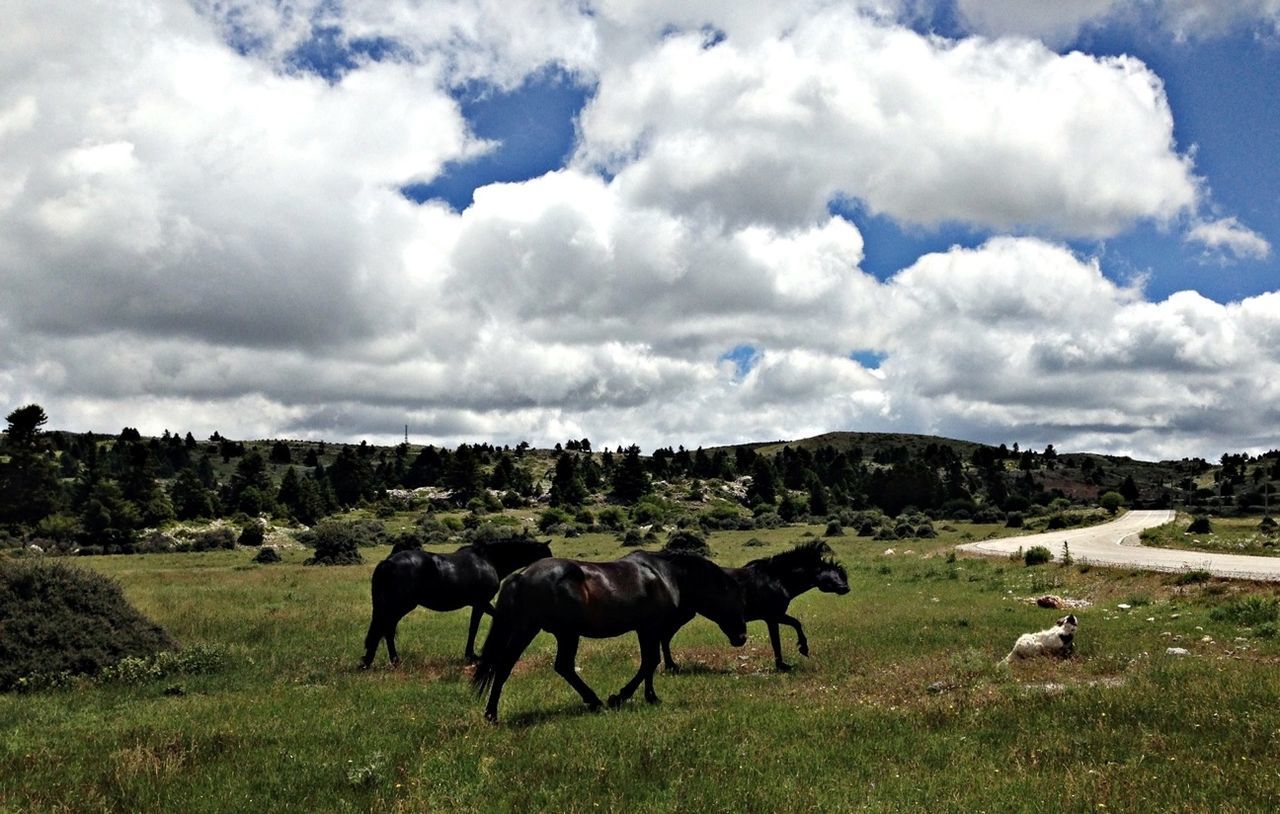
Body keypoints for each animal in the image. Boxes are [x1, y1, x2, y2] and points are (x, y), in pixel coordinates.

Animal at [360, 534, 550, 665]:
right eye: (547, 555)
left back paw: (371, 661)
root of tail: (389, 562)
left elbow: (477, 626)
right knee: (387, 628)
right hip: (399, 605)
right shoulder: (481, 602)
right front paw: (475, 655)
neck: (488, 560)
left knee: (384, 628)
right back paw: (389, 660)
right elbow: (479, 626)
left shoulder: (479, 604)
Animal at [471, 550, 747, 721]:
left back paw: (491, 714)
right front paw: (620, 697)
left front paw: (650, 697)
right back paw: (595, 701)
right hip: (554, 632)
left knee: (510, 666)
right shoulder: (650, 627)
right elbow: (650, 662)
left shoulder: (647, 629)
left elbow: (650, 663)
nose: (742, 637)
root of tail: (521, 575)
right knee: (555, 666)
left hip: (540, 631)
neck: (665, 575)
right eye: (735, 599)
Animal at [660, 540, 849, 675]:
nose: (846, 588)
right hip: (682, 614)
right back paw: (671, 666)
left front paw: (783, 663)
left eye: (842, 575)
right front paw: (800, 651)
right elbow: (792, 627)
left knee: (665, 637)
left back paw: (672, 666)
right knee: (665, 636)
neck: (777, 580)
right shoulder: (774, 615)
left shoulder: (773, 617)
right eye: (833, 574)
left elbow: (781, 637)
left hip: (685, 614)